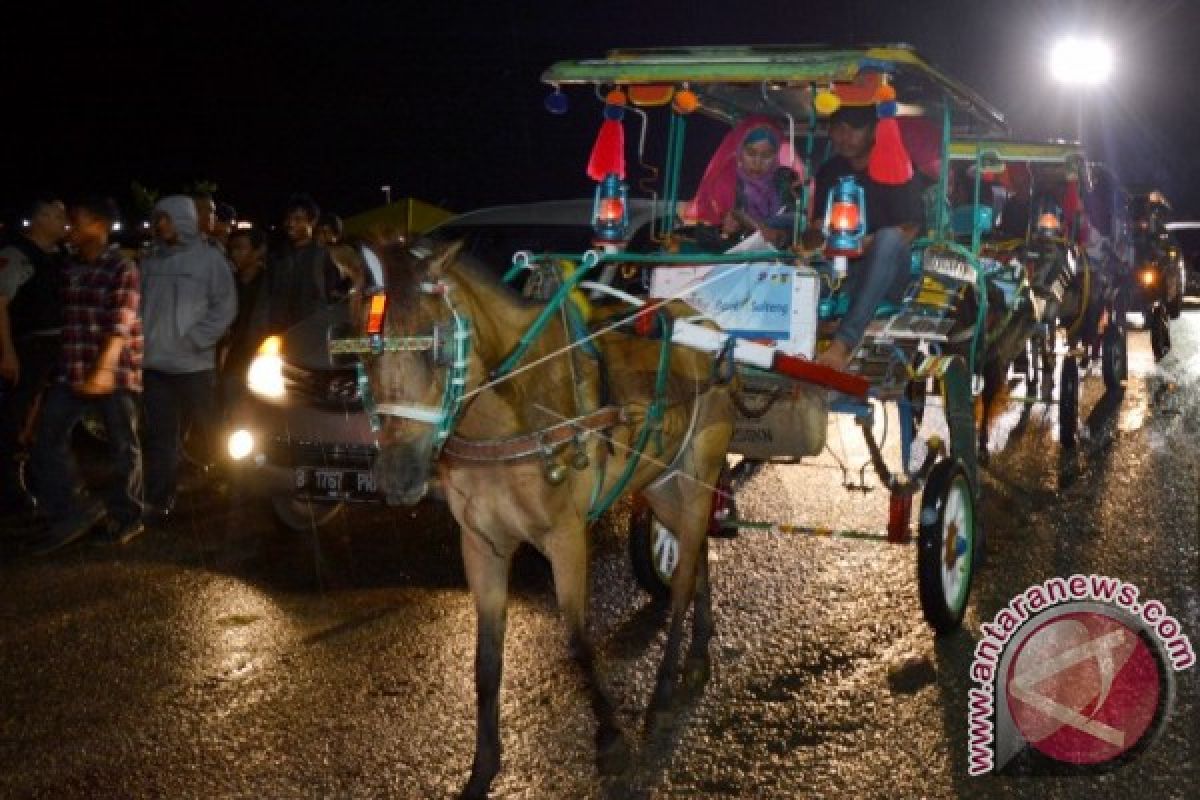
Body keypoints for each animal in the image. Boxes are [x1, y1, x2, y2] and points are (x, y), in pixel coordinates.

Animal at [348, 239, 734, 800]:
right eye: (360, 354)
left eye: (436, 349)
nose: (399, 476)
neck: (507, 413)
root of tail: (707, 327)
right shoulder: (481, 544)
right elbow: (486, 662)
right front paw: (482, 767)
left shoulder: (566, 537)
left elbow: (578, 641)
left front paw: (610, 740)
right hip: (661, 484)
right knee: (697, 550)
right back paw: (699, 654)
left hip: (698, 472)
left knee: (682, 579)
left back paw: (664, 691)